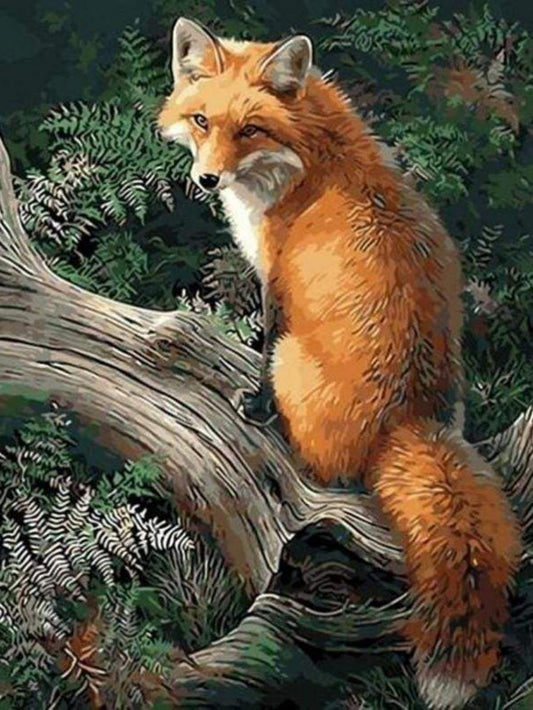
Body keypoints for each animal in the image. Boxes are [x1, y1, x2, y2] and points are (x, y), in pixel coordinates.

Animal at [157, 17, 522, 709]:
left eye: (250, 129)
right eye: (201, 120)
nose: (207, 181)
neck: (312, 157)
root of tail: (408, 421)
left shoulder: (275, 280)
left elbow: (263, 344)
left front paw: (254, 404)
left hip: (296, 362)